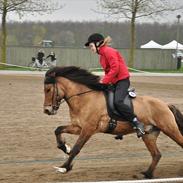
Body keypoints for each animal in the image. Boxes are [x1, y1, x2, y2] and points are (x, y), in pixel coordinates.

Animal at [43, 66, 183, 179]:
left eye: (48, 89)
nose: (47, 110)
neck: (85, 98)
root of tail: (165, 104)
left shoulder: (88, 129)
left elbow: (77, 148)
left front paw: (64, 167)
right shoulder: (78, 127)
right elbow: (58, 129)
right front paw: (64, 147)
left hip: (170, 129)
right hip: (149, 135)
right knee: (156, 154)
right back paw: (147, 174)